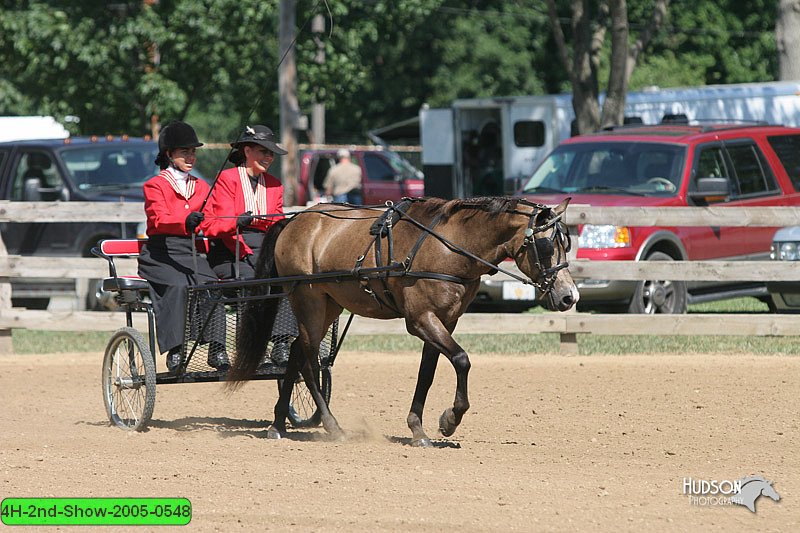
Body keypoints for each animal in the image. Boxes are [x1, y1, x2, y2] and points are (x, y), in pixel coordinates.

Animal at [228, 195, 580, 444]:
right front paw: (449, 420)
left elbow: (428, 373)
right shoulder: (421, 319)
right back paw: (331, 426)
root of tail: (295, 220)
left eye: (566, 243)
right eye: (546, 244)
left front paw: (418, 429)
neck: (450, 245)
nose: (570, 296)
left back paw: (277, 425)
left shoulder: (444, 321)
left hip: (329, 306)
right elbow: (462, 359)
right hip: (308, 300)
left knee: (297, 353)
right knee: (309, 362)